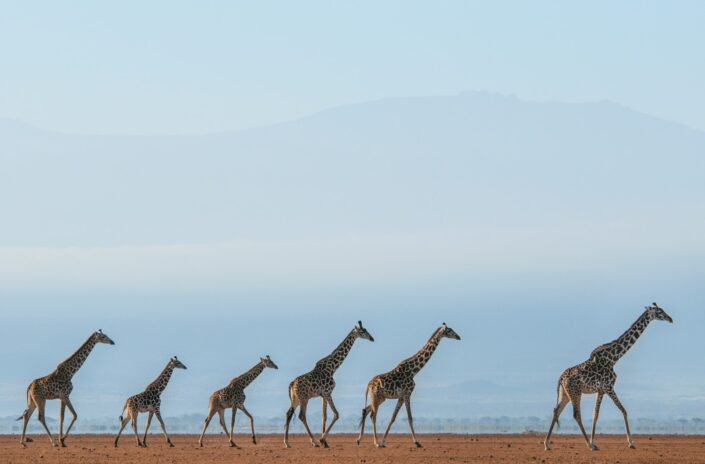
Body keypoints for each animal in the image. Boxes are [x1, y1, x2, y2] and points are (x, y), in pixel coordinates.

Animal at [544, 302, 673, 451]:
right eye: (659, 311)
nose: (670, 319)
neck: (614, 357)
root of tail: (561, 378)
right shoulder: (609, 387)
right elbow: (623, 410)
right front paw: (630, 443)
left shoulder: (601, 390)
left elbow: (595, 414)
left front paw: (595, 441)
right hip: (576, 393)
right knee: (576, 415)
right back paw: (588, 445)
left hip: (564, 393)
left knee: (556, 411)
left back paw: (547, 444)